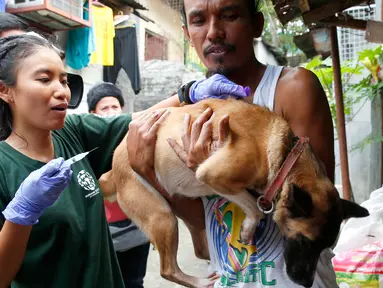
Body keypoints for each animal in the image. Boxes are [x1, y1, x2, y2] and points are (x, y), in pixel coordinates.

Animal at [100, 98, 370, 286]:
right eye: (305, 242)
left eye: (324, 247)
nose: (306, 283)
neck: (286, 158)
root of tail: (112, 171)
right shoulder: (211, 175)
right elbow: (255, 207)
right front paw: (250, 227)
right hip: (163, 217)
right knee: (168, 269)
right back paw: (199, 282)